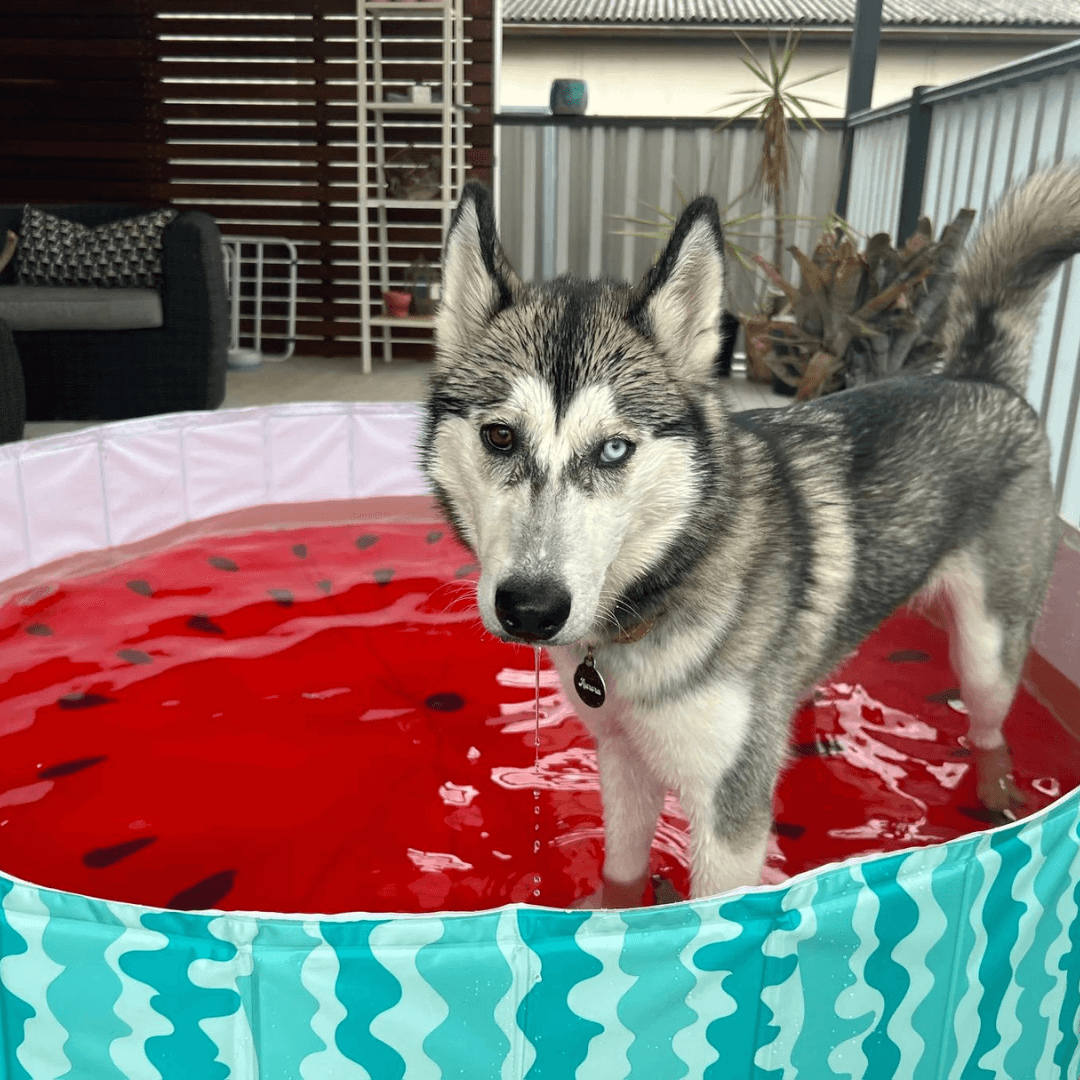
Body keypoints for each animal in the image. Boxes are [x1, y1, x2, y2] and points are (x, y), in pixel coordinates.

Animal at [419, 166, 1080, 902]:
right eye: (499, 436)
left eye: (614, 449)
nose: (531, 609)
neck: (664, 586)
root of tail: (977, 373)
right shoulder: (621, 757)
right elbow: (624, 877)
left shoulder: (729, 816)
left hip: (987, 651)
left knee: (991, 725)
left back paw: (998, 796)